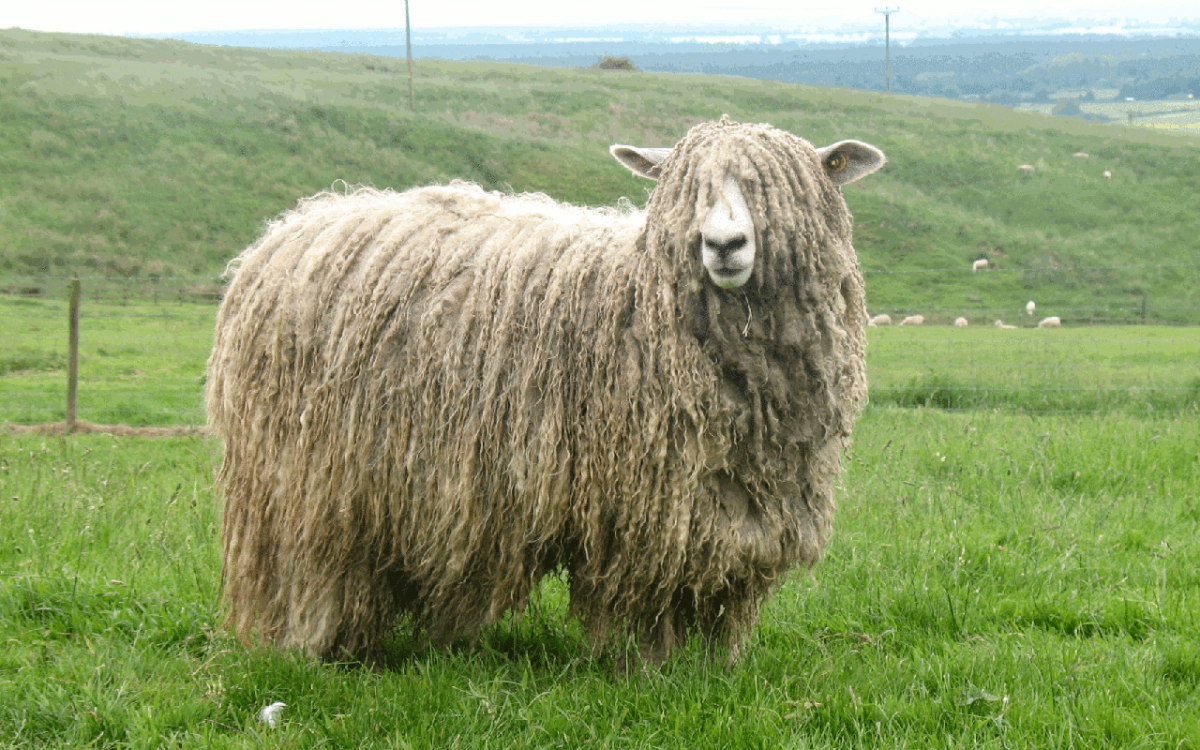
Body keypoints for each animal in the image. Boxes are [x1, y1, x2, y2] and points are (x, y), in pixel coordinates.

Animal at [201, 114, 888, 662]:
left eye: (776, 189)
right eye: (682, 188)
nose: (722, 244)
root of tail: (285, 234)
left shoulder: (742, 500)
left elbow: (723, 594)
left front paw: (718, 666)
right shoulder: (645, 502)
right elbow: (650, 599)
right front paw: (653, 669)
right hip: (308, 478)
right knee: (309, 565)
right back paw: (312, 649)